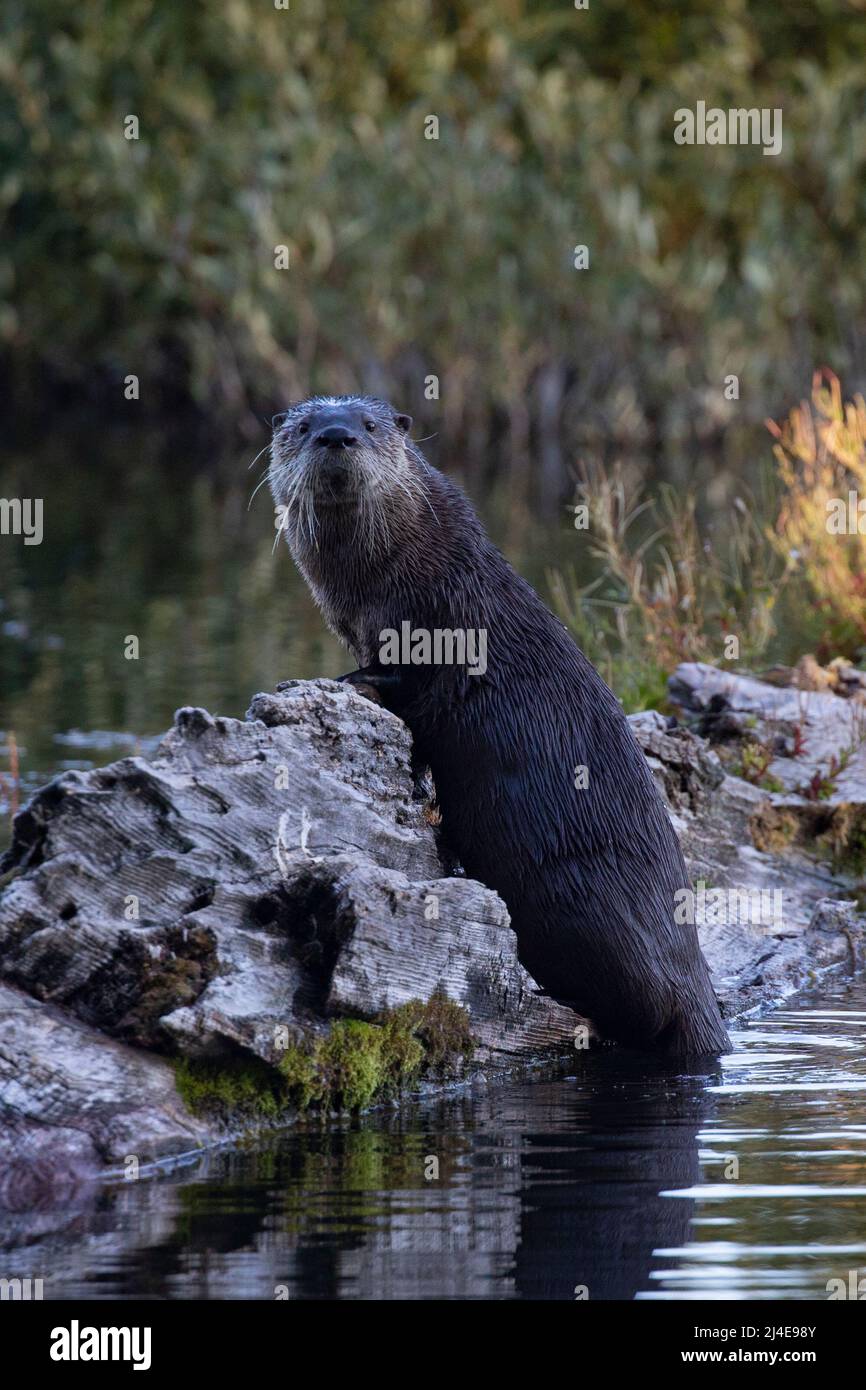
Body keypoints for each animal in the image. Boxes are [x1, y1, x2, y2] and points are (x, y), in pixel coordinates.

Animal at [268, 394, 730, 1056]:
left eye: (370, 426)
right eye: (304, 426)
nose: (335, 434)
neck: (407, 567)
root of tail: (695, 981)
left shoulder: (432, 621)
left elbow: (403, 680)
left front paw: (343, 680)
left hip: (586, 909)